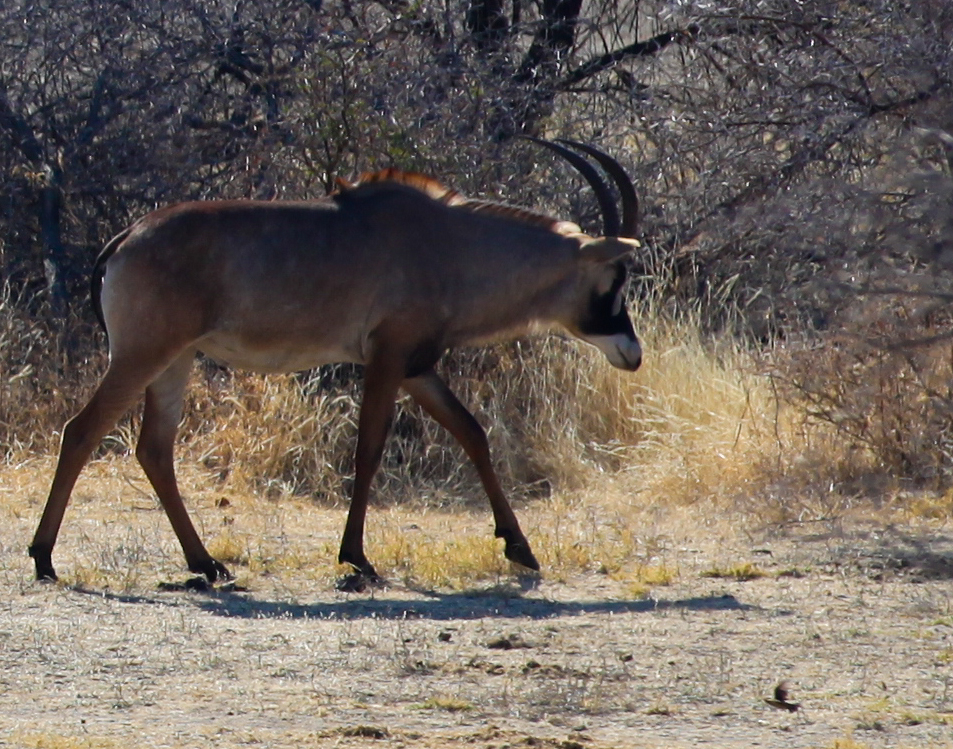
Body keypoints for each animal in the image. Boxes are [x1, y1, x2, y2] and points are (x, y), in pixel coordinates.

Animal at [27, 137, 640, 588]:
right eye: (614, 276)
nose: (631, 354)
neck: (452, 245)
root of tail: (123, 240)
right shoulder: (388, 357)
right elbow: (369, 448)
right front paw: (357, 558)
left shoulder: (417, 366)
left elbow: (472, 432)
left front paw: (519, 546)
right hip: (142, 354)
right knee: (81, 430)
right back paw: (44, 557)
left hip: (175, 361)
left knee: (154, 449)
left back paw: (205, 564)